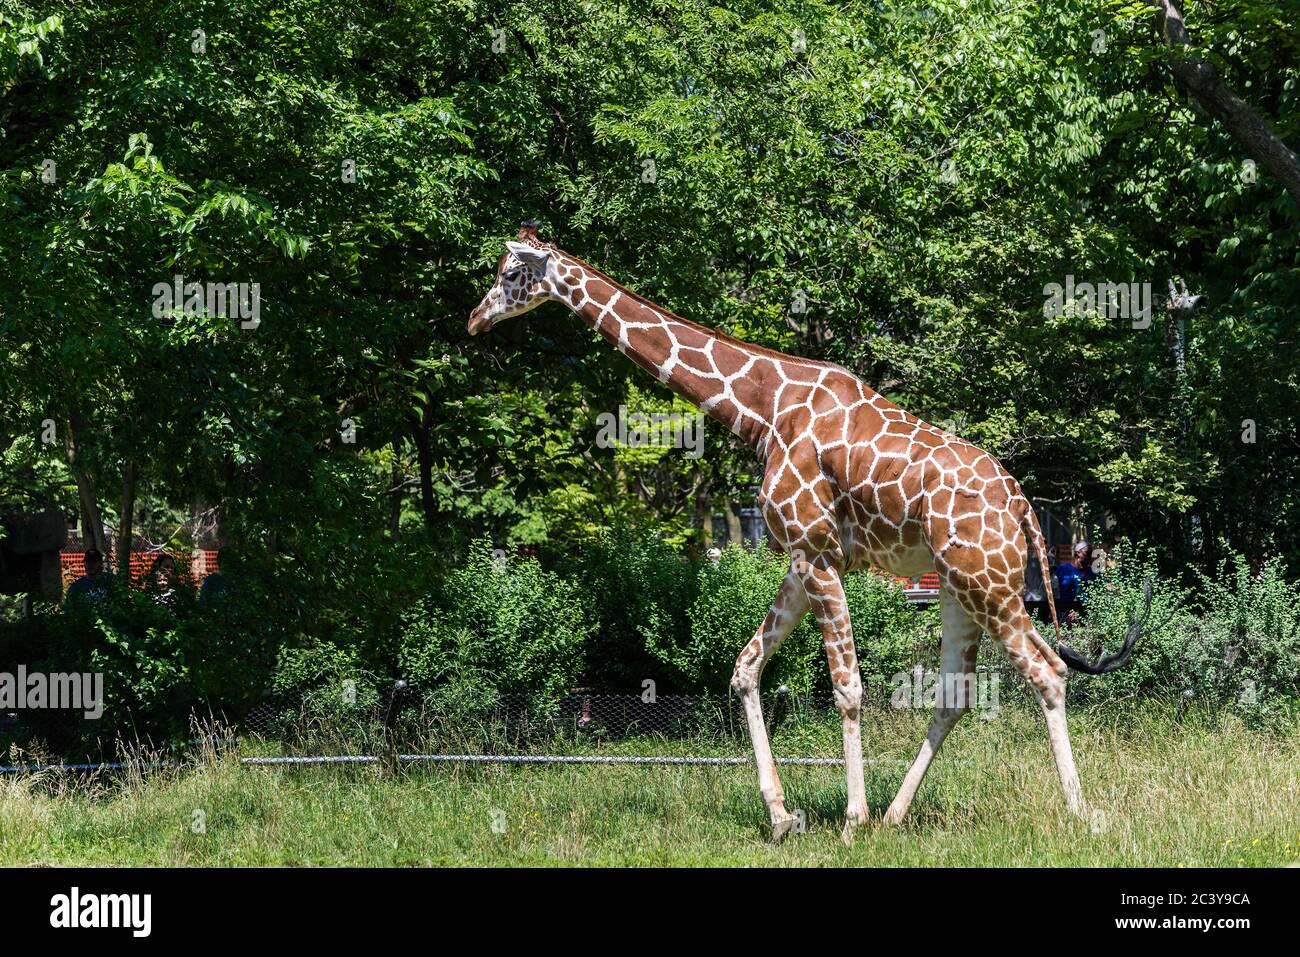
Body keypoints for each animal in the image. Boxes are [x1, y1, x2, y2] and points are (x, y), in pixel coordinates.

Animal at [467, 222, 1146, 842]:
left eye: (510, 273)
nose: (475, 318)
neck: (762, 408)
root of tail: (1023, 503)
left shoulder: (817, 552)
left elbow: (846, 687)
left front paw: (850, 821)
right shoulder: (803, 556)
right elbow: (745, 668)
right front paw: (783, 817)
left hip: (991, 582)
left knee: (1048, 672)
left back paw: (1079, 815)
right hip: (959, 586)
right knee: (955, 693)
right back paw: (898, 815)